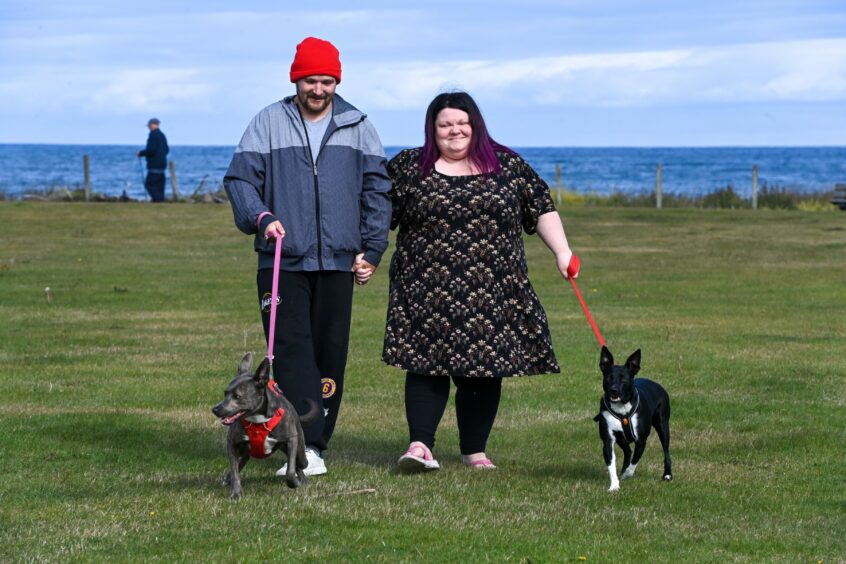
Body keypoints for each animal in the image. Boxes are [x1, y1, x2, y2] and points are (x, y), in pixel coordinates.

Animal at [211, 352, 318, 498]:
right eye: (225, 393)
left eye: (237, 396)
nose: (215, 409)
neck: (257, 420)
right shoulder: (232, 443)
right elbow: (235, 471)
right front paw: (235, 493)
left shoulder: (291, 440)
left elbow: (290, 471)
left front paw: (293, 483)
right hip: (246, 450)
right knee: (241, 462)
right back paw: (228, 478)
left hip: (300, 451)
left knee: (299, 464)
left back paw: (303, 480)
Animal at [596, 346, 676, 492]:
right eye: (608, 378)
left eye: (624, 380)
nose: (614, 390)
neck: (622, 409)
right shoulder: (608, 439)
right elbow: (611, 462)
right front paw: (614, 485)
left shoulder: (641, 440)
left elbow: (635, 459)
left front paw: (628, 473)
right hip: (621, 438)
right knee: (628, 451)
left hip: (663, 425)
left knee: (666, 451)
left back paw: (667, 475)